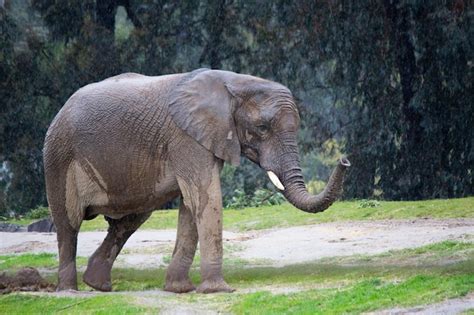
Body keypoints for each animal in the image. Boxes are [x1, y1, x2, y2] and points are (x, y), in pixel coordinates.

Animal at [43, 68, 348, 294]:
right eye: (262, 128)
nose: (344, 160)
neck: (234, 82)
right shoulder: (186, 137)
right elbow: (206, 196)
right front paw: (219, 291)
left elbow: (192, 206)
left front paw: (180, 290)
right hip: (59, 157)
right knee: (68, 224)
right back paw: (69, 291)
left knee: (129, 221)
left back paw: (98, 285)